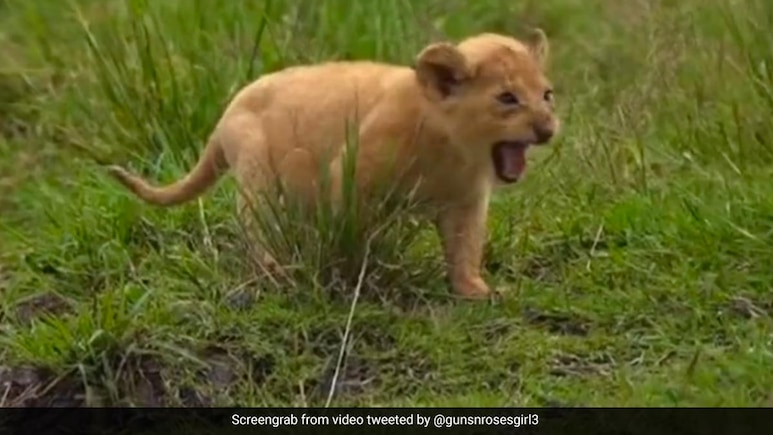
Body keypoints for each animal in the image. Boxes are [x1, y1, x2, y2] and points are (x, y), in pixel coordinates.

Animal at [107, 30, 559, 299]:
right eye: (507, 98)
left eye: (547, 94)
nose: (547, 128)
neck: (453, 149)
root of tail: (224, 115)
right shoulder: (353, 171)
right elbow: (357, 230)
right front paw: (358, 271)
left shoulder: (464, 203)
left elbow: (465, 247)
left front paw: (475, 290)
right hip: (256, 172)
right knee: (257, 227)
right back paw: (278, 272)